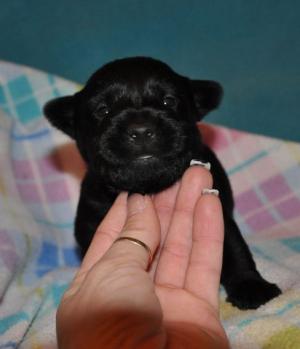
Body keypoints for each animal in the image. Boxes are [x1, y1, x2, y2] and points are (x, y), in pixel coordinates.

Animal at [44, 56, 282, 308]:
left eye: (169, 101)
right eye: (102, 110)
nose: (140, 130)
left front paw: (251, 286)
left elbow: (236, 249)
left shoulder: (218, 211)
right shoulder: (92, 219)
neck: (151, 186)